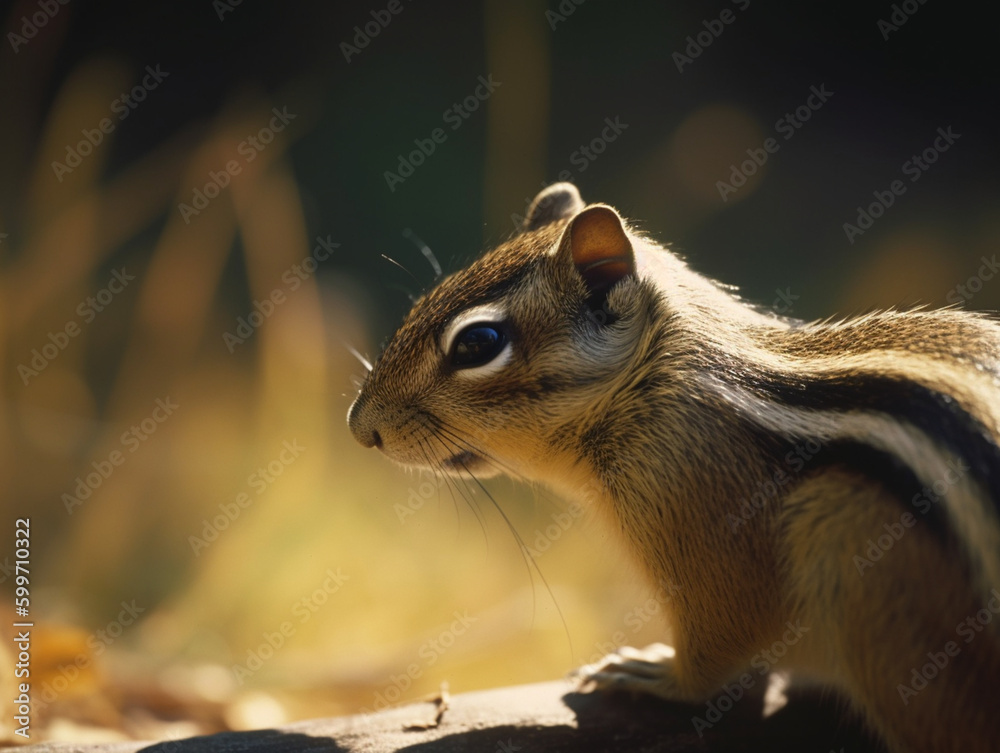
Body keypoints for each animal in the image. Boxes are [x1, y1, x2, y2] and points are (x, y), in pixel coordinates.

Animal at [348, 183, 1000, 752]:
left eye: (477, 343)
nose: (359, 427)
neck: (657, 379)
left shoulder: (711, 545)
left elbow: (721, 646)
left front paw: (654, 672)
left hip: (856, 540)